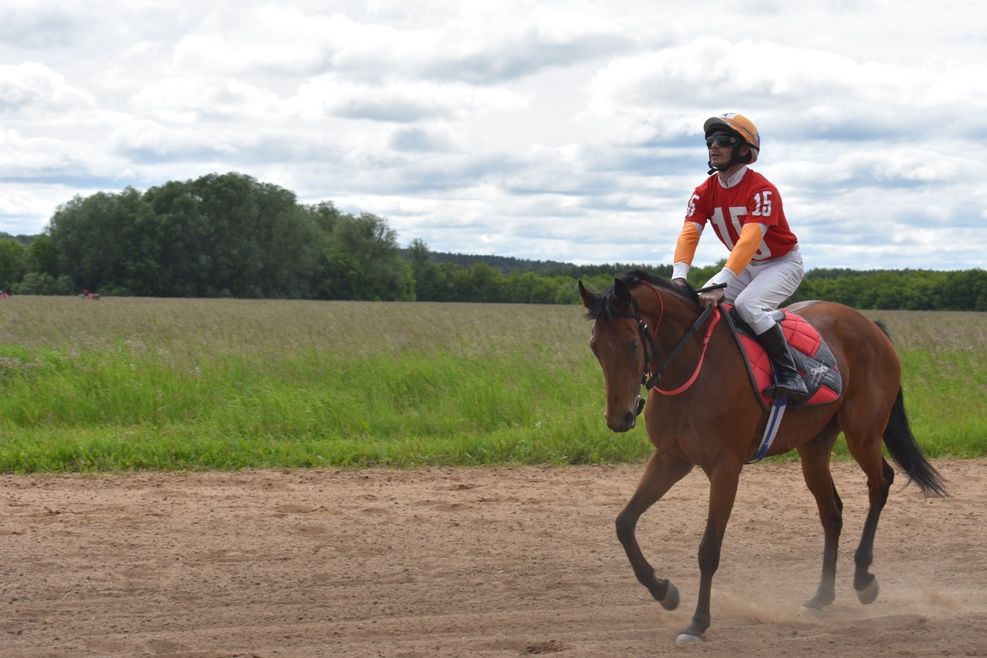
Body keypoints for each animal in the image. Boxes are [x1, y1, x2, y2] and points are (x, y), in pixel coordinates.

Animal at [580, 266, 948, 640]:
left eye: (631, 343)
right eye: (595, 347)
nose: (619, 418)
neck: (693, 362)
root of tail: (870, 325)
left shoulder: (725, 467)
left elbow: (708, 549)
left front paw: (698, 622)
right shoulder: (671, 459)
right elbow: (624, 523)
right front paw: (663, 590)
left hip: (864, 433)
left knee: (880, 483)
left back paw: (863, 579)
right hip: (814, 447)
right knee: (832, 512)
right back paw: (822, 596)